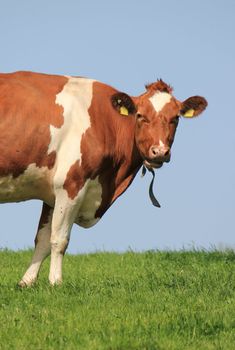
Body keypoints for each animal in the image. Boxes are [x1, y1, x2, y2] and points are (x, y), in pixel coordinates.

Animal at [0, 70, 207, 284]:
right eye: (140, 115)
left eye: (176, 118)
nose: (159, 152)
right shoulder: (71, 183)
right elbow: (59, 240)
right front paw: (56, 282)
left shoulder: (52, 192)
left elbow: (42, 240)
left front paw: (26, 282)